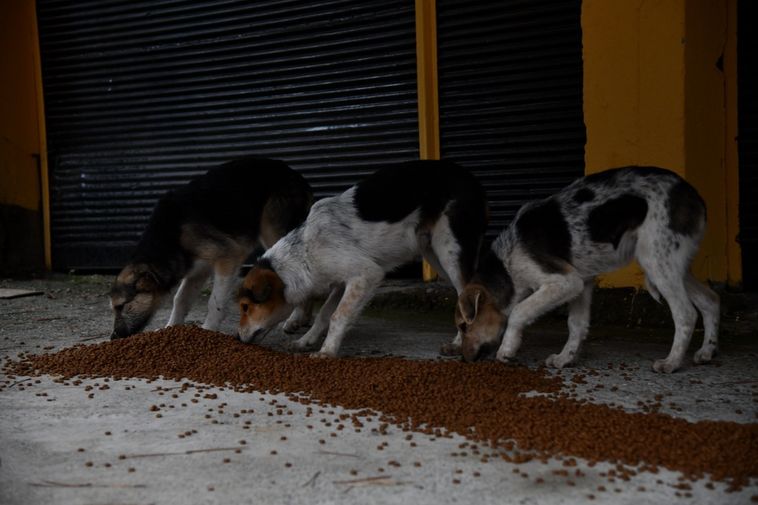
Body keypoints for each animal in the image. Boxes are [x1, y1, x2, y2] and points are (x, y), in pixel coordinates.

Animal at [107, 157, 312, 338]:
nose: (113, 337)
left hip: (272, 230)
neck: (170, 238)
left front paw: (208, 329)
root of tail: (297, 176)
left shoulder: (229, 257)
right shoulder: (197, 270)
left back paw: (296, 318)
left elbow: (215, 302)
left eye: (121, 306)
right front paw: (170, 327)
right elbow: (180, 299)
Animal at [236, 159, 486, 356]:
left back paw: (458, 345)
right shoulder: (342, 281)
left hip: (450, 250)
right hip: (434, 254)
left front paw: (327, 351)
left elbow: (338, 315)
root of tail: (471, 177)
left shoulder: (366, 274)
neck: (304, 252)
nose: (237, 337)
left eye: (246, 307)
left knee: (466, 295)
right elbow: (324, 314)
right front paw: (305, 341)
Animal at [454, 165, 720, 370]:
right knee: (710, 300)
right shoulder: (582, 284)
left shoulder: (564, 281)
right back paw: (707, 352)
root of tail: (693, 194)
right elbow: (576, 325)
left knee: (686, 313)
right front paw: (566, 358)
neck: (506, 266)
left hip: (656, 261)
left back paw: (672, 363)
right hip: (674, 265)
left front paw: (507, 349)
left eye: (463, 326)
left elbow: (519, 311)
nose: (464, 360)